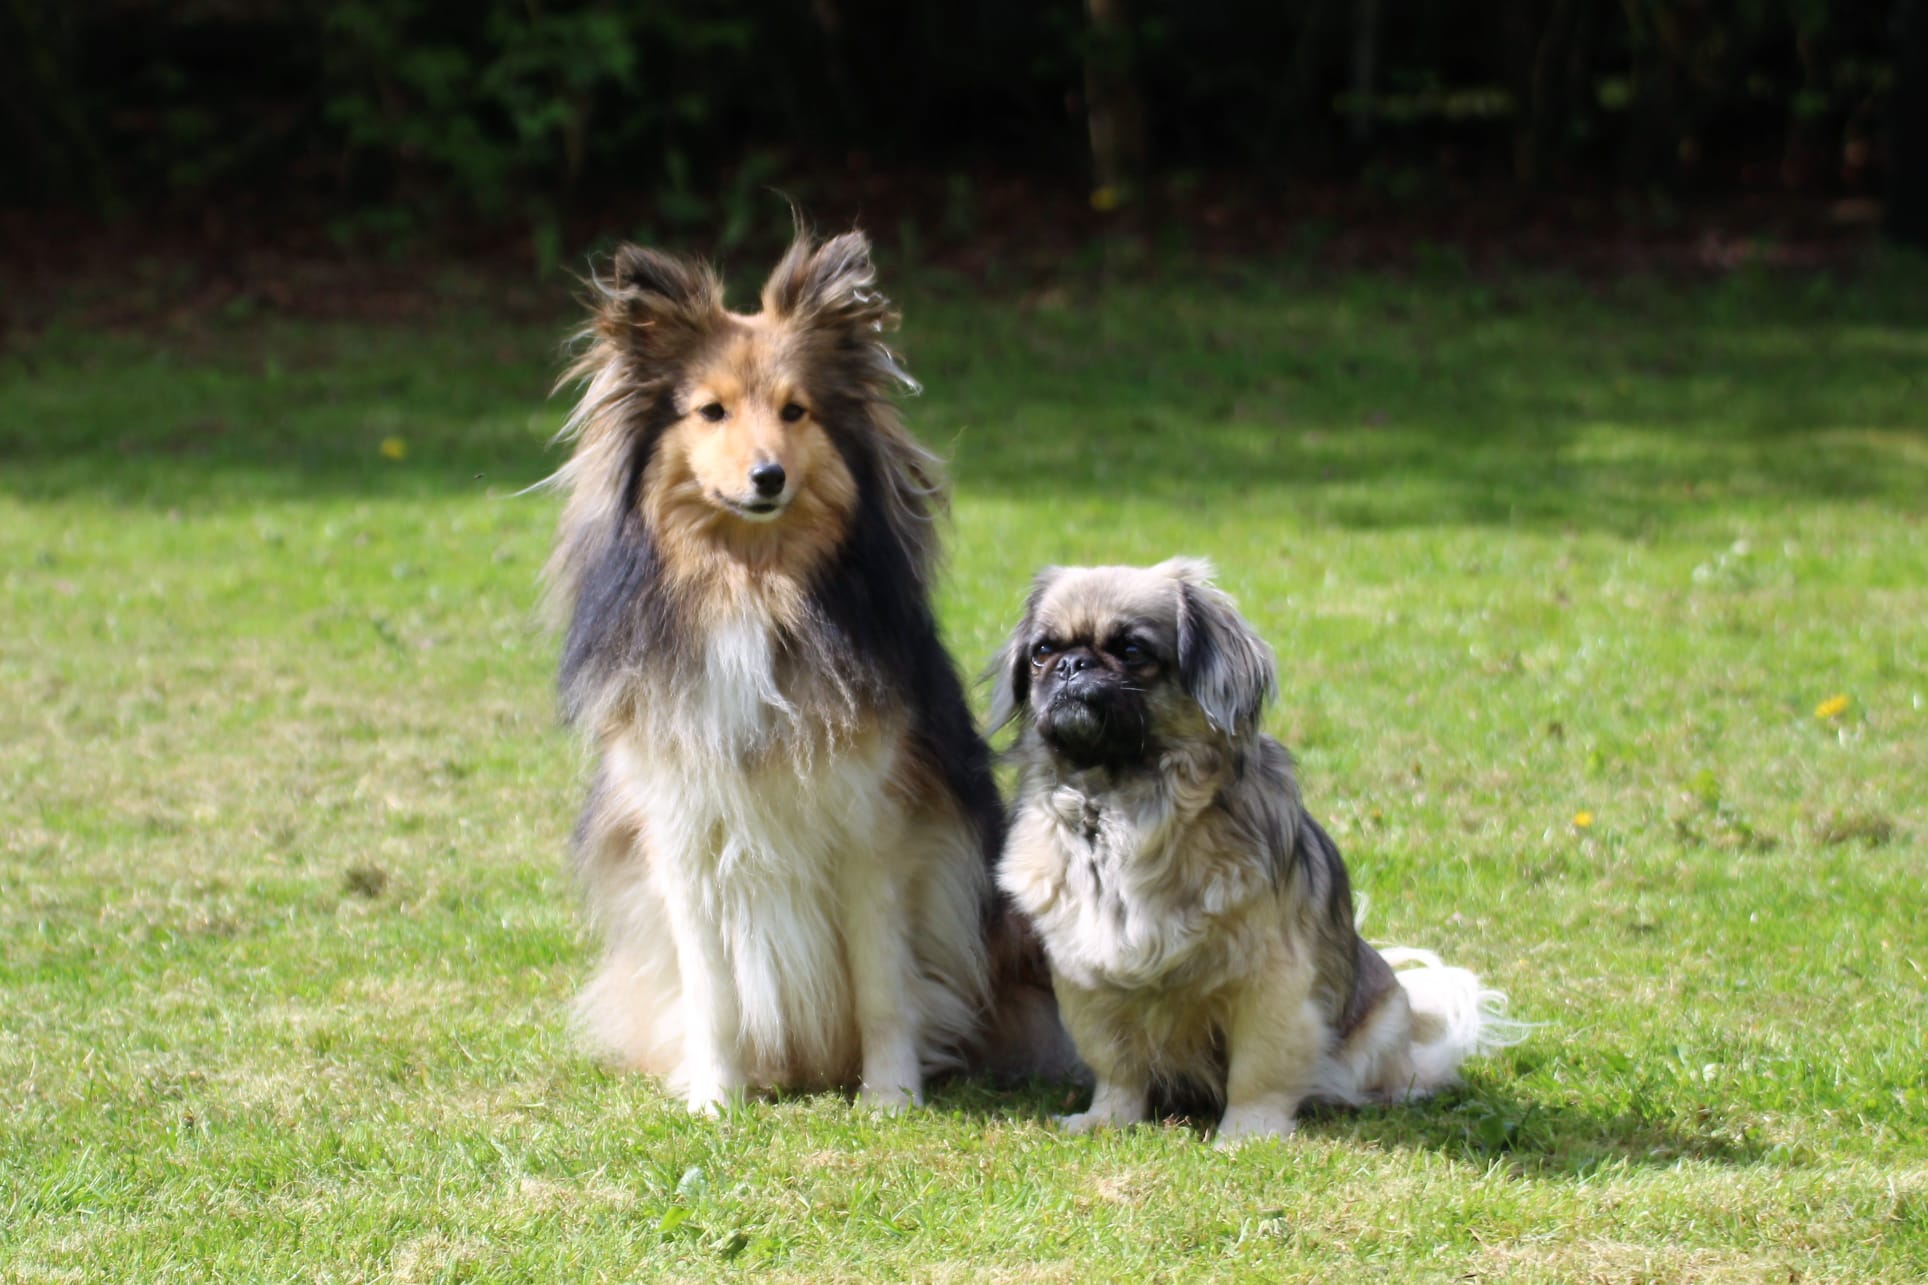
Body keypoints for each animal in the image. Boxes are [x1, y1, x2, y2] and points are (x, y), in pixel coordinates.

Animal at [543, 230, 1056, 1111]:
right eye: (711, 410)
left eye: (795, 410)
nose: (768, 477)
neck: (754, 583)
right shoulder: (683, 829)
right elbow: (713, 988)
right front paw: (716, 1098)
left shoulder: (875, 827)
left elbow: (884, 982)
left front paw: (892, 1097)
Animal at [994, 555, 1519, 1134]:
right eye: (1043, 651)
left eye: (1132, 651)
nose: (1072, 664)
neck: (1122, 806)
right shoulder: (1090, 983)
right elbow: (1117, 1064)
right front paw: (1106, 1119)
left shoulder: (1270, 985)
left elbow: (1259, 1070)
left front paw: (1248, 1134)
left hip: (1380, 1028)